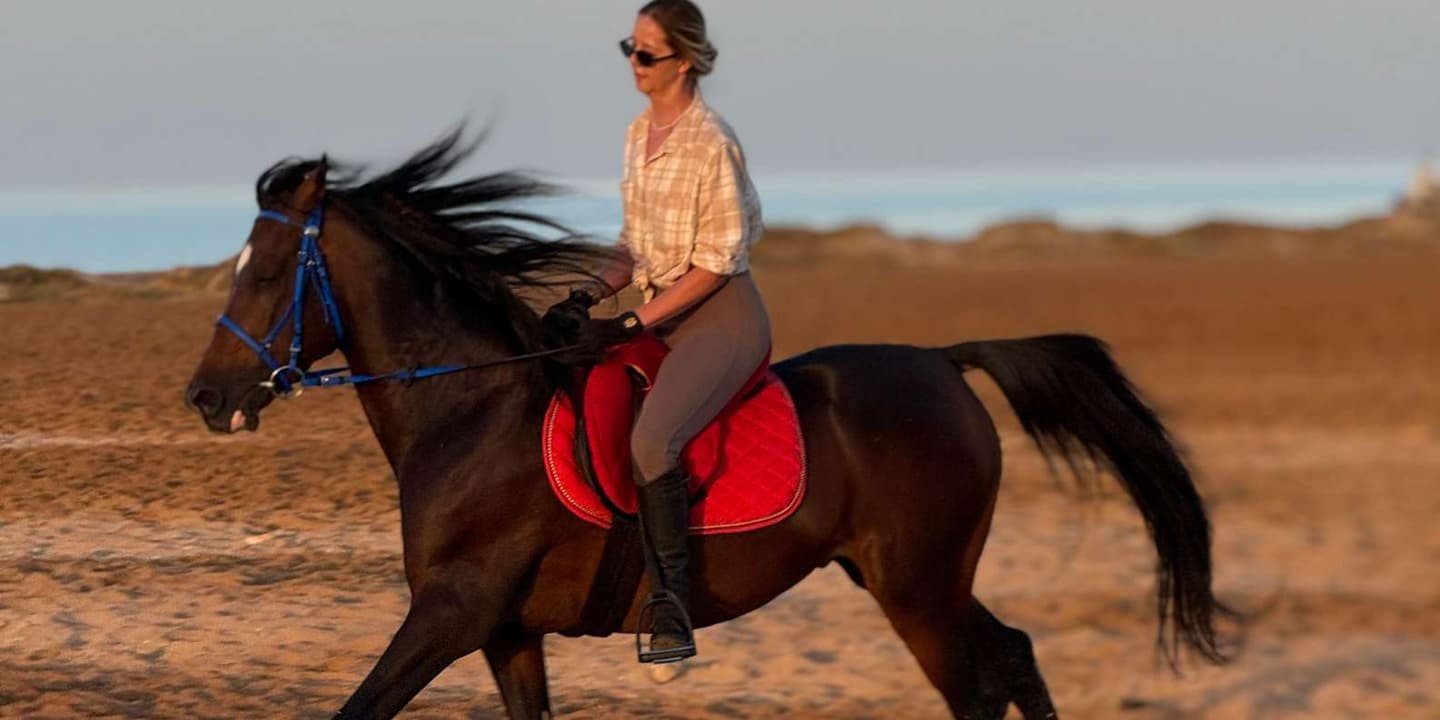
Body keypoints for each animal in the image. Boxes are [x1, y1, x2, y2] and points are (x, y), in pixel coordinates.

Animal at [184, 131, 1231, 719]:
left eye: (267, 272)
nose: (206, 396)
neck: (473, 411)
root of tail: (943, 360)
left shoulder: (453, 613)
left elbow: (357, 709)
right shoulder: (505, 634)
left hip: (917, 587)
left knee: (976, 688)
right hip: (911, 576)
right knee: (1013, 656)